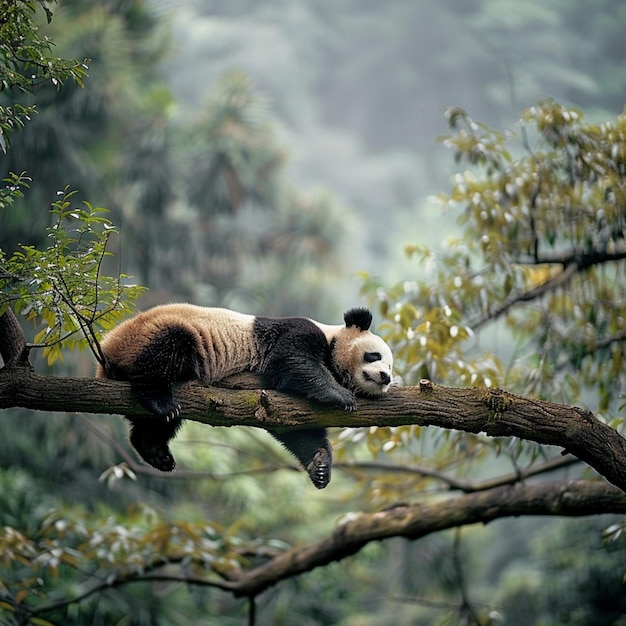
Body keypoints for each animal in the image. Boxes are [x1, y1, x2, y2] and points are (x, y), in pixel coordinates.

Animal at [94, 304, 390, 488]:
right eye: (374, 355)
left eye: (391, 365)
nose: (386, 377)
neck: (332, 341)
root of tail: (106, 354)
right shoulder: (296, 332)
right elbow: (292, 361)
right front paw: (342, 396)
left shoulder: (281, 404)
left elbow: (295, 428)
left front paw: (320, 466)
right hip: (148, 335)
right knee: (166, 348)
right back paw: (161, 402)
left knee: (155, 422)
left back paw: (154, 449)